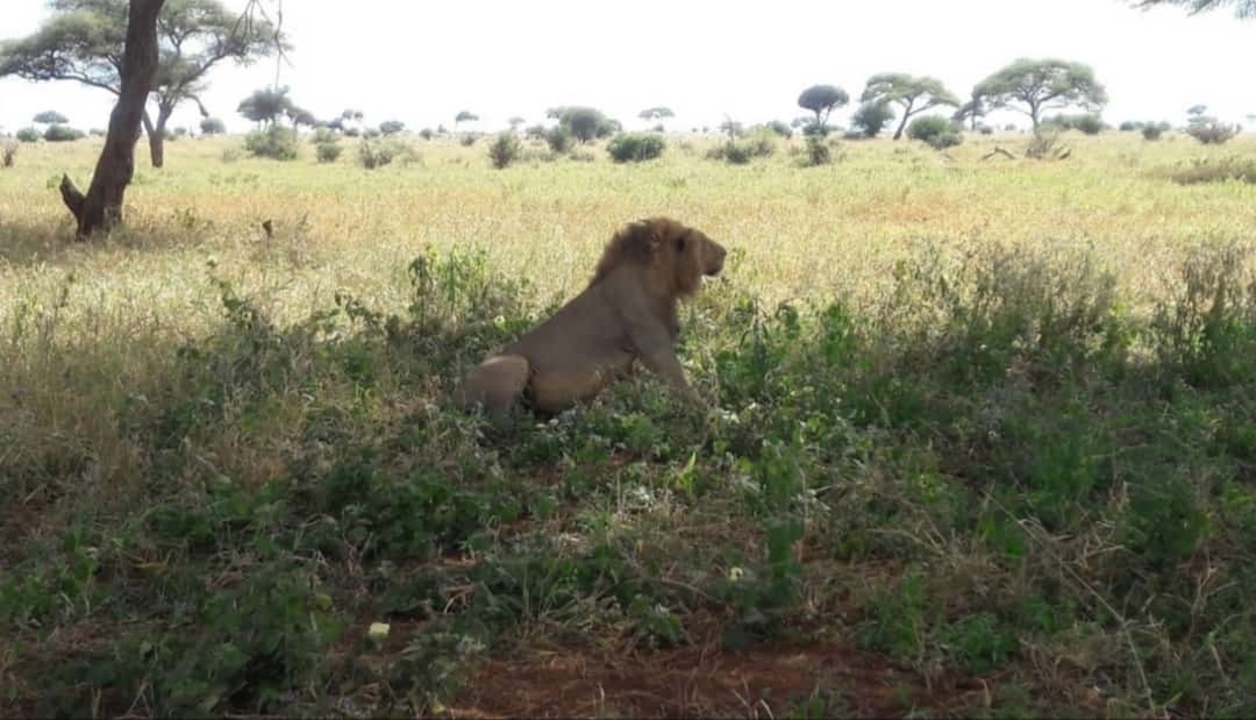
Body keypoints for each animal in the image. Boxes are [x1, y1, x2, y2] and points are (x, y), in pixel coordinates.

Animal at [457, 216, 727, 418]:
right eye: (703, 241)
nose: (725, 251)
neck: (662, 286)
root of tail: (458, 391)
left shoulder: (628, 366)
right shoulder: (656, 350)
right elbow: (685, 388)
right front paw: (717, 416)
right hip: (514, 363)